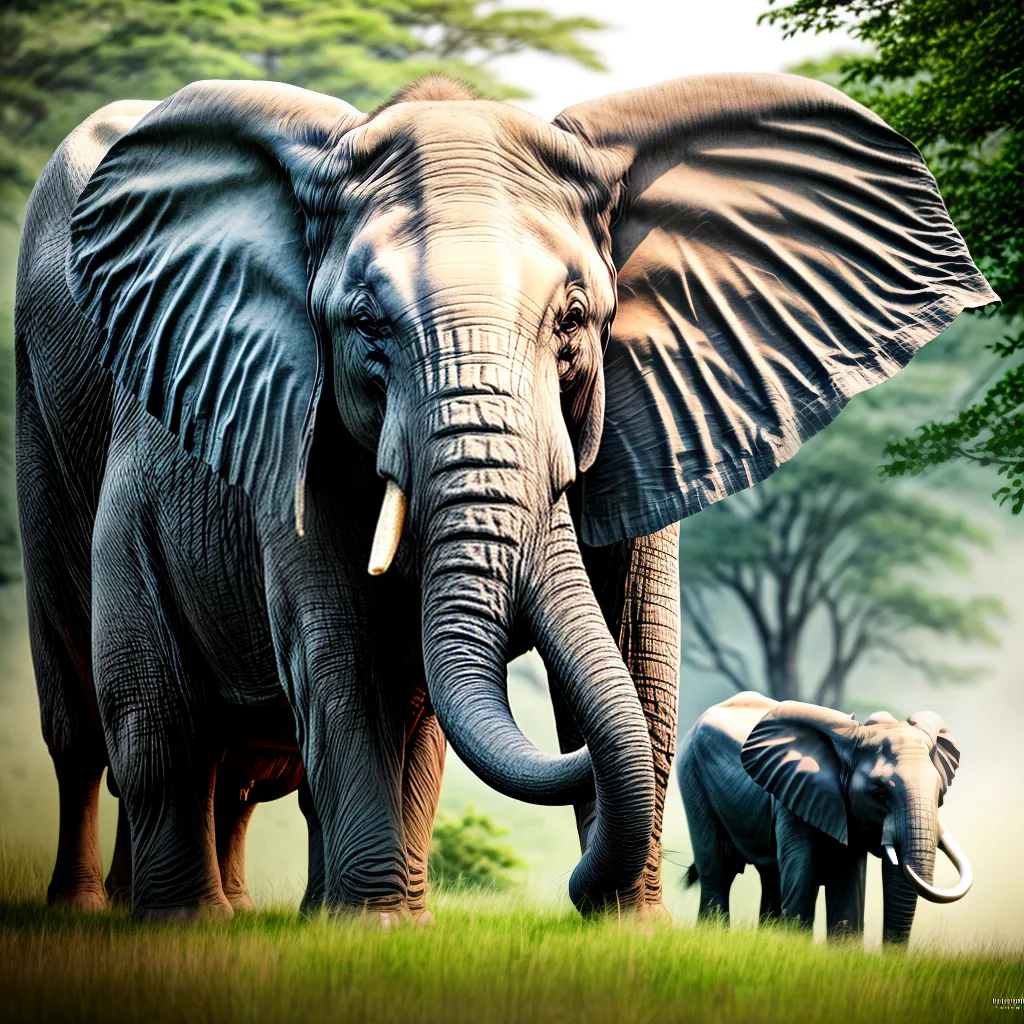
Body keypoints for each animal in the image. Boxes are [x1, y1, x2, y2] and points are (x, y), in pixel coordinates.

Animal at [678, 693, 972, 944]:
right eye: (879, 794)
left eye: (939, 793)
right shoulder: (793, 796)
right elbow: (802, 881)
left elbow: (847, 887)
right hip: (691, 777)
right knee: (718, 871)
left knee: (770, 878)